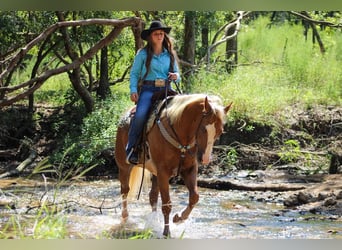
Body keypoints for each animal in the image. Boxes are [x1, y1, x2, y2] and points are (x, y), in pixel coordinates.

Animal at [115, 93, 232, 236]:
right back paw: (125, 218)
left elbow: (194, 197)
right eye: (204, 129)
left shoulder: (189, 169)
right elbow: (167, 204)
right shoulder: (163, 172)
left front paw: (179, 218)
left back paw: (154, 222)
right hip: (124, 166)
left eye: (220, 131)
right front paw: (166, 232)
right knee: (125, 190)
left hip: (155, 173)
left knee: (153, 197)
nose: (204, 159)